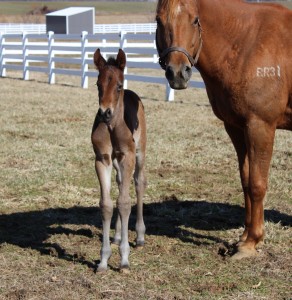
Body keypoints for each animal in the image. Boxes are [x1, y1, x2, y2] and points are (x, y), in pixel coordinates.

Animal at [156, 0, 290, 258]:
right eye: (159, 21)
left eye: (195, 20)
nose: (177, 72)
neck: (246, 43)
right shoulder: (236, 127)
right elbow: (246, 180)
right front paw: (245, 237)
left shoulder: (261, 126)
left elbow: (257, 183)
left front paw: (251, 243)